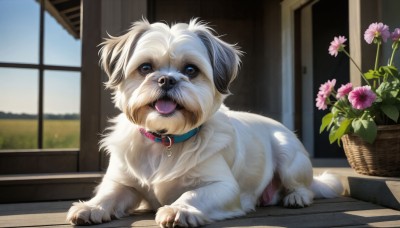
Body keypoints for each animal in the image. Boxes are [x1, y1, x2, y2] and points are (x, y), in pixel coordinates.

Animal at [67, 18, 342, 227]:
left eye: (190, 70)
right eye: (145, 68)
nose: (167, 79)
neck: (166, 139)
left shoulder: (223, 186)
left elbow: (193, 194)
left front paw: (178, 209)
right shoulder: (122, 183)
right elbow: (108, 195)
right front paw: (90, 207)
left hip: (287, 153)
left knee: (305, 186)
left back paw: (296, 197)